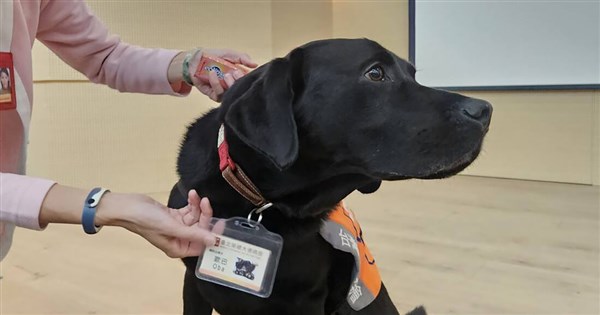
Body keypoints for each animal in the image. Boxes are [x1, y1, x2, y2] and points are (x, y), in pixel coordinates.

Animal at [169, 39, 492, 315]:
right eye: (375, 73)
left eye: (412, 74)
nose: (485, 111)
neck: (258, 202)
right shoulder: (192, 281)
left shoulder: (305, 300)